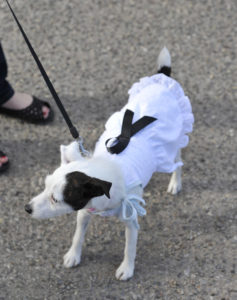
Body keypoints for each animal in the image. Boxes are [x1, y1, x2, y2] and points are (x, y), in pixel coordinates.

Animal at [25, 48, 193, 280]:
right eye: (44, 186)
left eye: (55, 199)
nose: (27, 208)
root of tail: (163, 79)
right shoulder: (85, 211)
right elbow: (78, 235)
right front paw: (73, 254)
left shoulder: (131, 219)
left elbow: (129, 248)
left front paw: (127, 268)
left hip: (174, 144)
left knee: (177, 163)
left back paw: (175, 183)